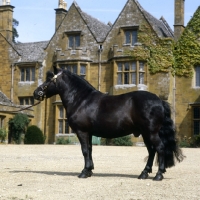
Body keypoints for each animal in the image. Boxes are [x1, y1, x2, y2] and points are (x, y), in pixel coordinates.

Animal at [33, 68, 184, 180]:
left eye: (49, 79)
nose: (36, 93)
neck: (81, 100)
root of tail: (159, 101)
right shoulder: (89, 133)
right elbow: (90, 150)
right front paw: (89, 170)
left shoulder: (82, 132)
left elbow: (85, 150)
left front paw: (84, 172)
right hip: (146, 133)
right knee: (152, 151)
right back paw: (144, 173)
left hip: (151, 132)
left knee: (160, 148)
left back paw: (158, 175)